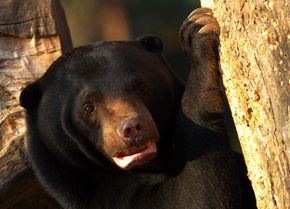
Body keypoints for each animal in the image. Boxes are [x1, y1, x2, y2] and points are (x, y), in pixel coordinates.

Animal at [19, 8, 245, 209]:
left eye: (142, 87)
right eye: (88, 107)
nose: (132, 128)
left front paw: (198, 23)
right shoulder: (106, 197)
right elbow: (194, 196)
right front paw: (199, 31)